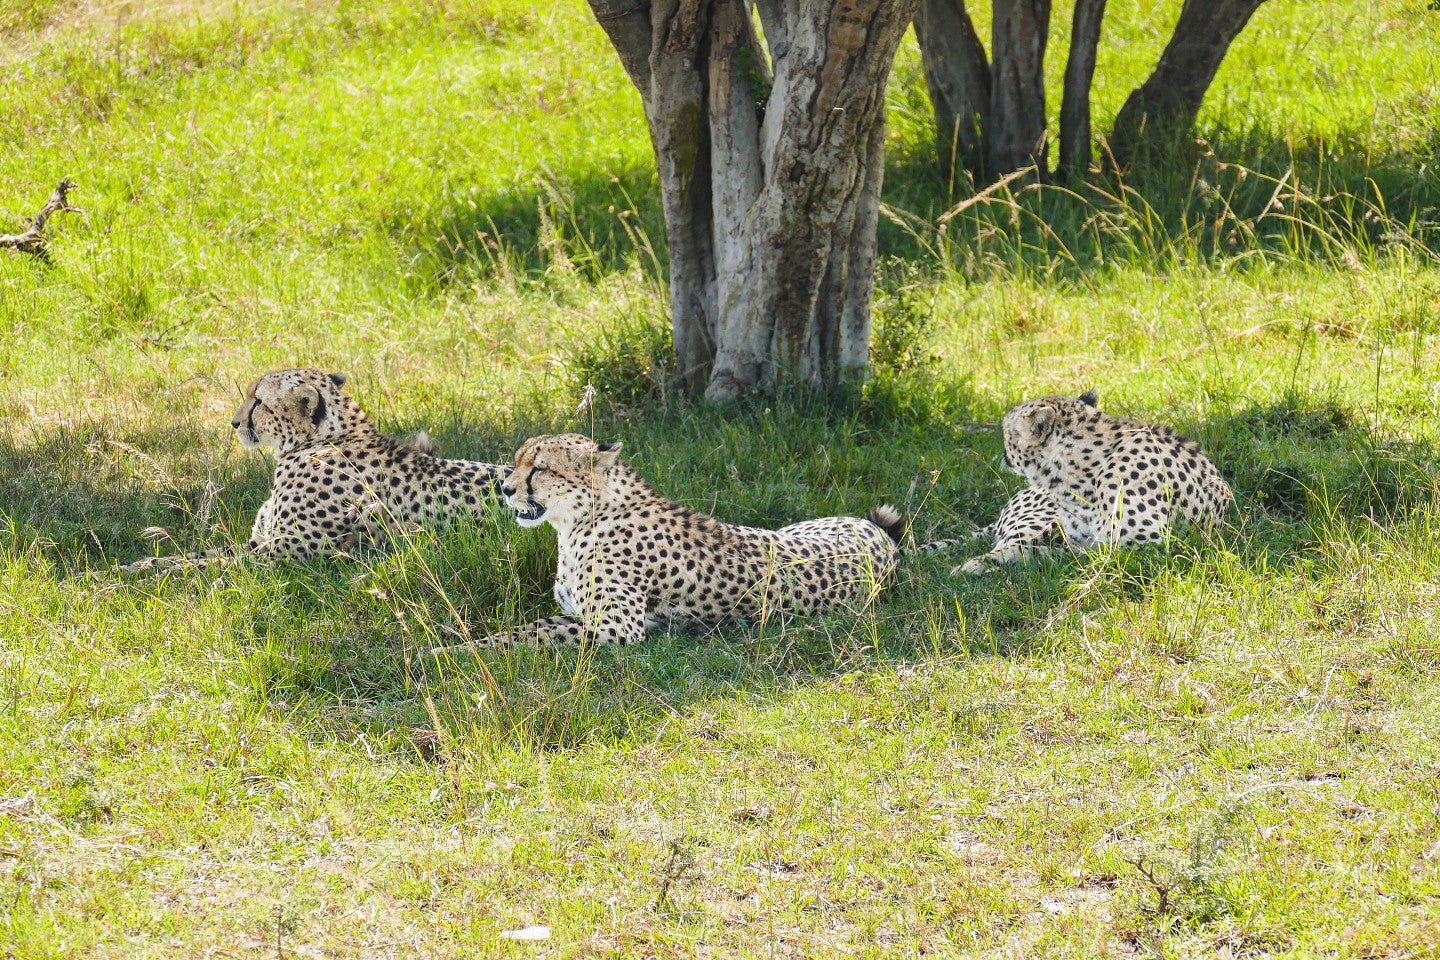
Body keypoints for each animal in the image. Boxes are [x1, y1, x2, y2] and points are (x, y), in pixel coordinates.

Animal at [122, 364, 512, 567]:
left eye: (258, 401)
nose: (234, 423)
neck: (317, 442)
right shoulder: (260, 540)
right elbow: (198, 553)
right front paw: (130, 566)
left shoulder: (290, 550)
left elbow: (206, 565)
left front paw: (133, 579)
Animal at [432, 434, 898, 653]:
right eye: (517, 461)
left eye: (540, 468)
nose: (506, 488)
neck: (582, 519)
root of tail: (883, 540)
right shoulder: (579, 614)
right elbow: (524, 629)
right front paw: (451, 643)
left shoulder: (616, 629)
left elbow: (524, 639)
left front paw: (447, 653)